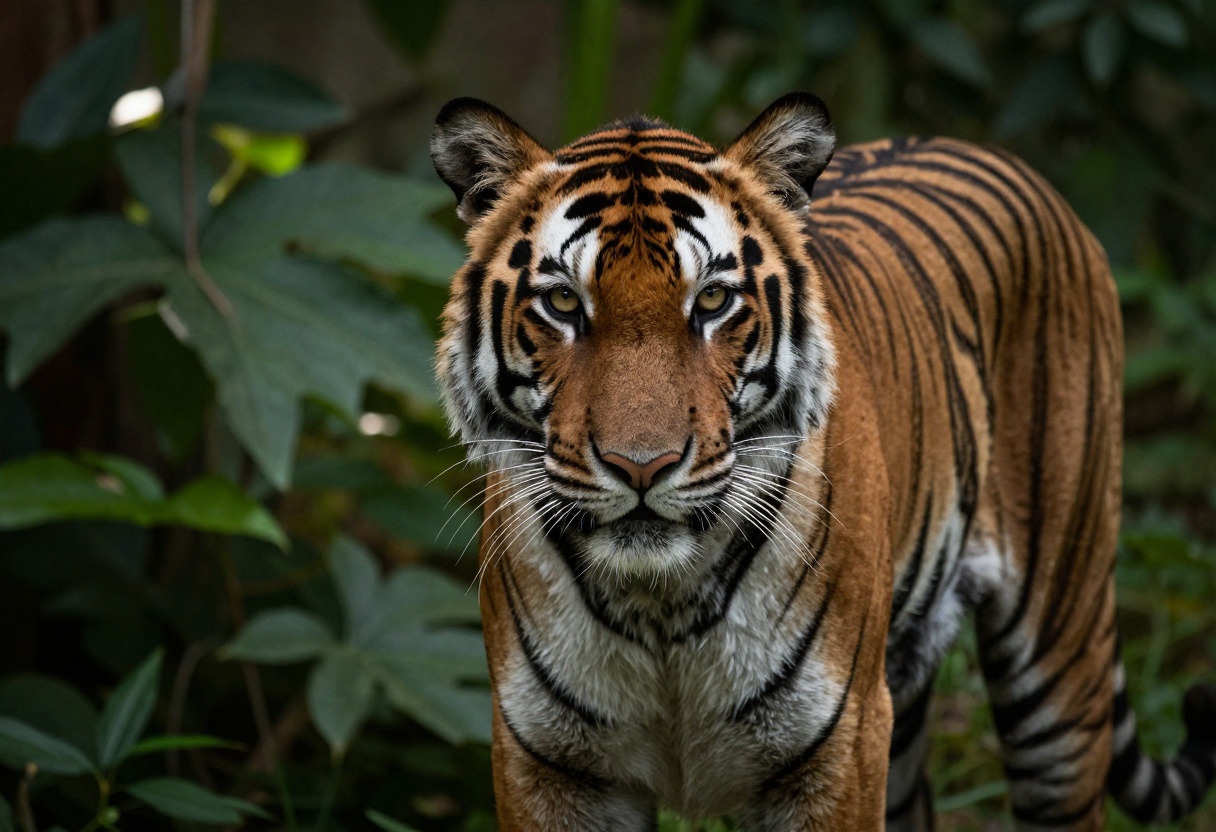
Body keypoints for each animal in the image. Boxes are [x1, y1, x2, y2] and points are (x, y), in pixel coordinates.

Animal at [429, 92, 1216, 831]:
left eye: (712, 300)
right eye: (564, 302)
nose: (642, 466)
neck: (662, 606)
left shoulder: (838, 748)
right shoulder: (549, 763)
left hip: (1060, 652)